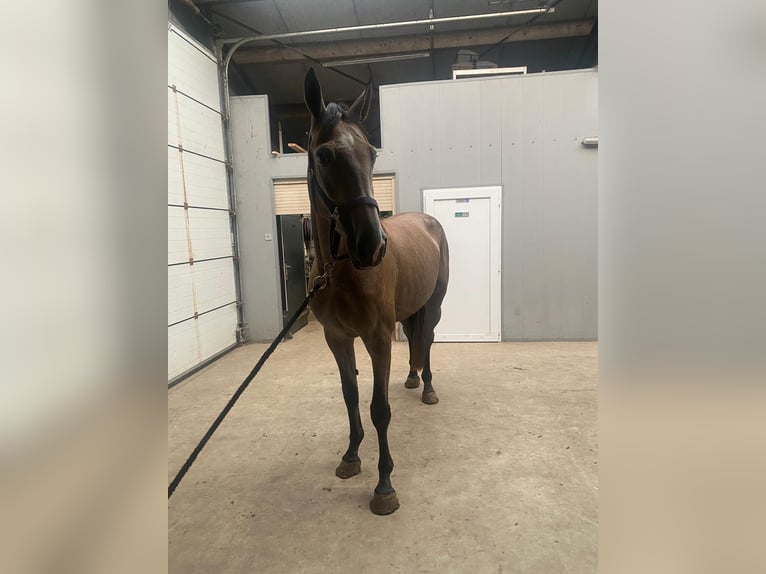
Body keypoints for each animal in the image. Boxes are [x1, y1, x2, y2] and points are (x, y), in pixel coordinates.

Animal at [303, 69, 449, 515]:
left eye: (372, 154)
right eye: (323, 156)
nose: (372, 246)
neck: (341, 272)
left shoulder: (378, 338)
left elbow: (379, 409)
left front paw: (384, 486)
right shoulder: (337, 338)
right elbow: (351, 397)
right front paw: (351, 456)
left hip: (434, 306)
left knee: (428, 339)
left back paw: (429, 389)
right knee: (417, 342)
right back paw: (413, 379)